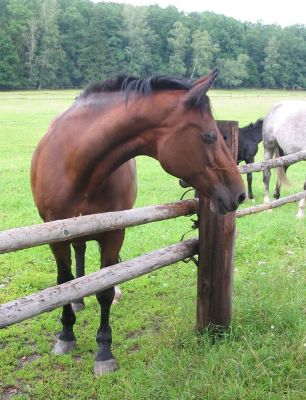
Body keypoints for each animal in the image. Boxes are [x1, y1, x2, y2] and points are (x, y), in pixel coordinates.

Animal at [30, 69, 246, 376]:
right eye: (208, 135)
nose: (239, 194)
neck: (75, 165)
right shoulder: (55, 234)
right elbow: (64, 282)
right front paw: (66, 335)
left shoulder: (113, 233)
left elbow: (105, 290)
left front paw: (104, 352)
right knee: (79, 254)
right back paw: (78, 301)